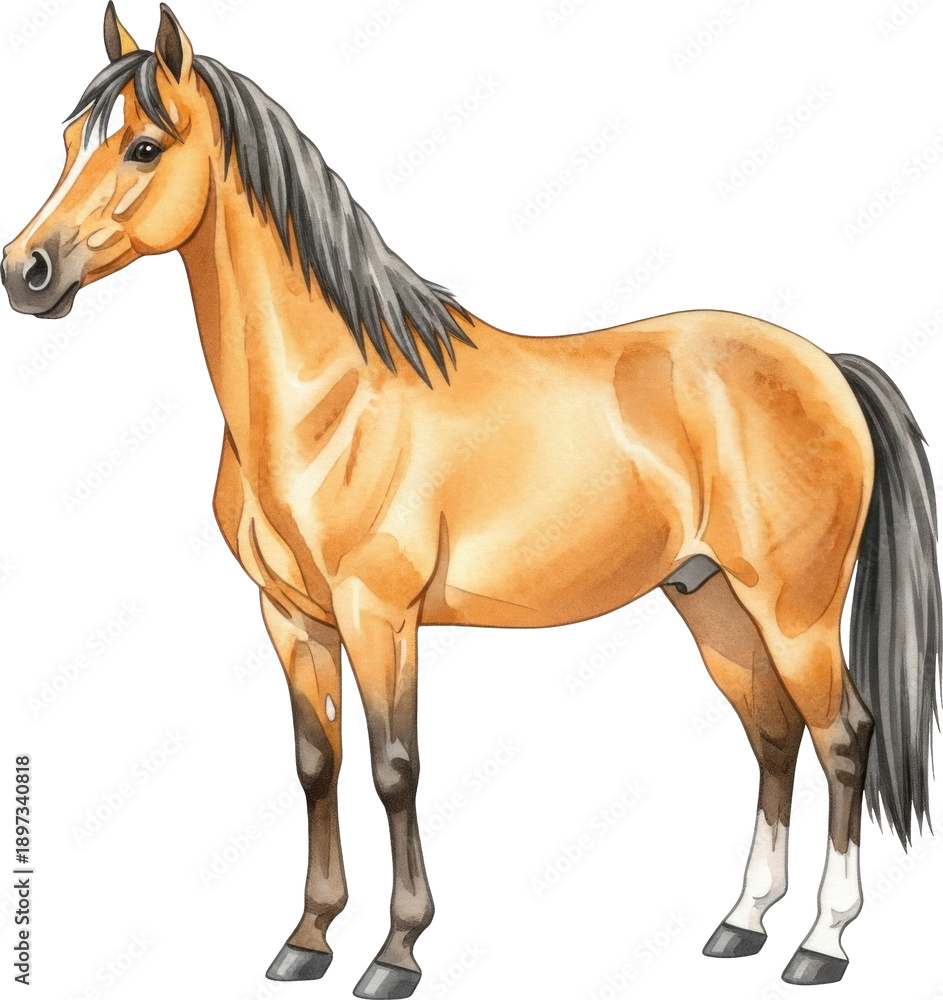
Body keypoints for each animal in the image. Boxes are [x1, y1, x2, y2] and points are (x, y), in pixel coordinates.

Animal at [3, 5, 940, 997]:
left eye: (144, 146)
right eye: (68, 143)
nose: (25, 272)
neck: (330, 396)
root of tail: (824, 366)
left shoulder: (380, 615)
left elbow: (394, 769)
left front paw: (394, 952)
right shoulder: (293, 617)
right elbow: (316, 765)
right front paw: (307, 938)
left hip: (794, 610)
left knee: (842, 736)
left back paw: (821, 942)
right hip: (712, 600)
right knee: (771, 734)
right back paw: (741, 923)